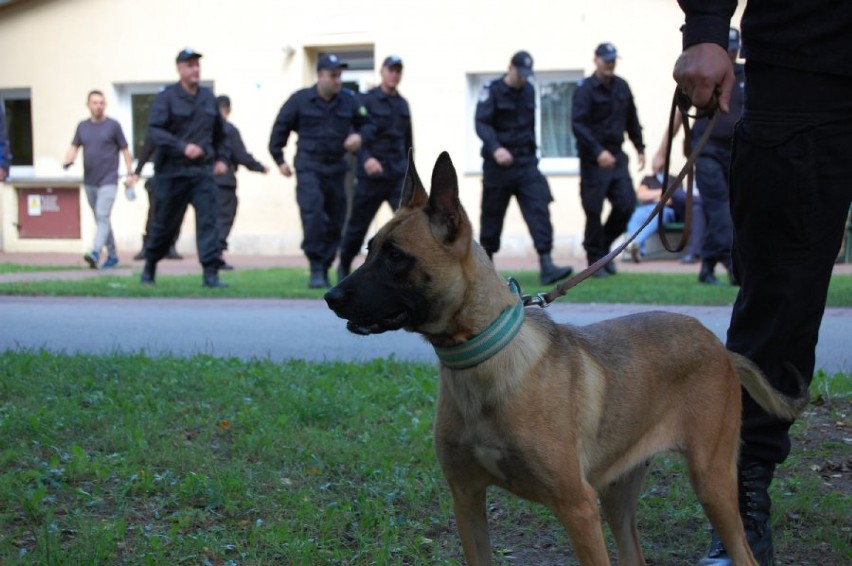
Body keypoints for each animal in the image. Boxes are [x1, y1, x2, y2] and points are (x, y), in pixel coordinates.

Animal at [324, 153, 804, 564]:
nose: (330, 297)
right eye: (368, 249)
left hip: (711, 483)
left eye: (395, 256)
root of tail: (720, 348)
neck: (484, 364)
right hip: (617, 493)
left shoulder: (577, 508)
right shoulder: (467, 498)